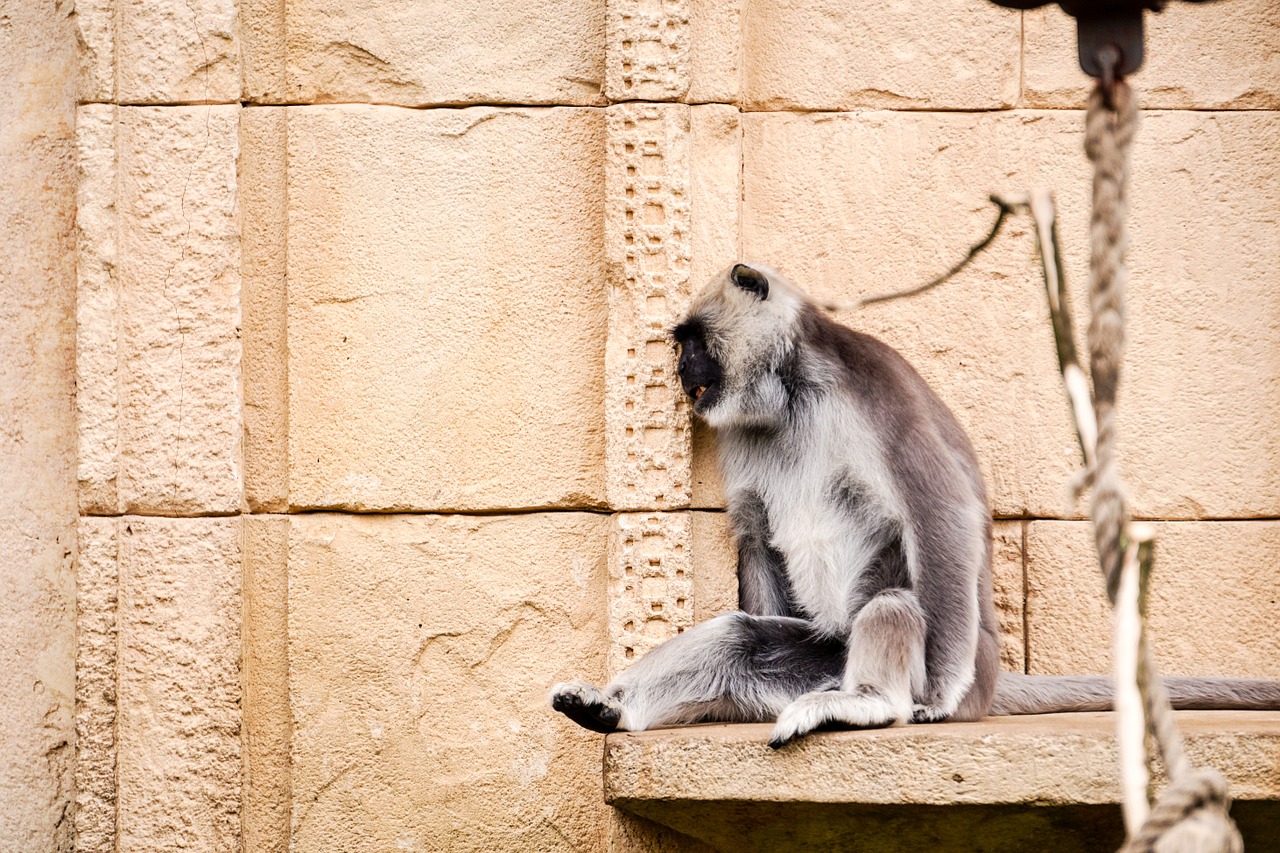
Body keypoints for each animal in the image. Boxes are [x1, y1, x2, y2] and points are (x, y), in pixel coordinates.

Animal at [547, 261, 1280, 742]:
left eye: (695, 342)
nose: (681, 370)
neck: (794, 390)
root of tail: (994, 678)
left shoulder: (872, 384)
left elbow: (941, 510)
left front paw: (937, 700)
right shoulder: (744, 431)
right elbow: (757, 532)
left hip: (924, 653)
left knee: (895, 604)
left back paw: (875, 703)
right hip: (824, 655)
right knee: (741, 636)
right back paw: (611, 709)